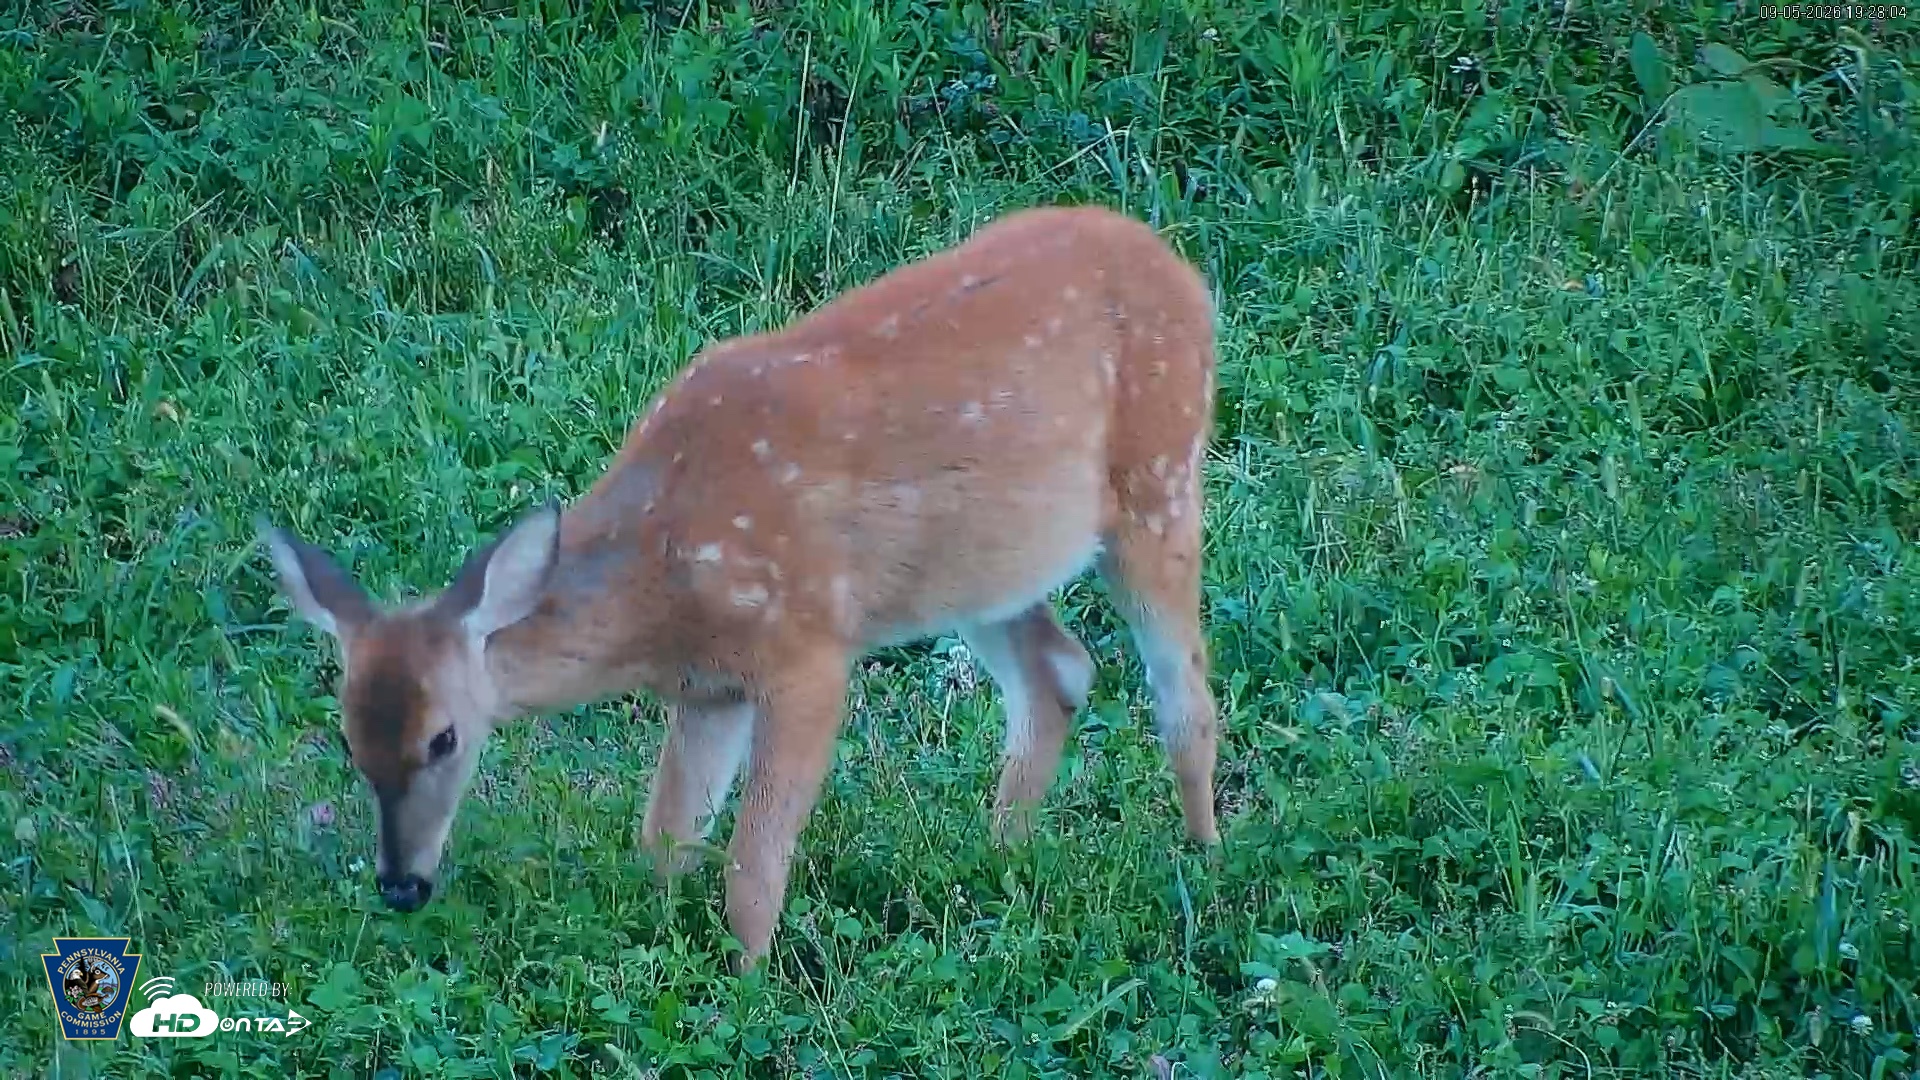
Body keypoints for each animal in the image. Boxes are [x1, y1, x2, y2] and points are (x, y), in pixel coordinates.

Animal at [258, 203, 1220, 969]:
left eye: (445, 739)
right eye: (348, 740)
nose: (401, 885)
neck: (664, 575)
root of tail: (1180, 268)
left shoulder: (805, 652)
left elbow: (753, 861)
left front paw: (749, 982)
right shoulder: (709, 686)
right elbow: (666, 835)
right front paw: (660, 944)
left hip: (1159, 479)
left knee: (1183, 690)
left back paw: (1203, 856)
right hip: (977, 571)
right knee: (1059, 671)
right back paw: (1000, 857)